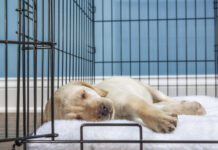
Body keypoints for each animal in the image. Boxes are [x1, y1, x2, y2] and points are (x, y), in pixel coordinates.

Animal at [44, 77, 206, 133]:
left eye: (83, 94)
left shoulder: (129, 99)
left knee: (166, 100)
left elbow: (144, 107)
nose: (103, 110)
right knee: (164, 103)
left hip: (151, 89)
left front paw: (161, 119)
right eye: (78, 118)